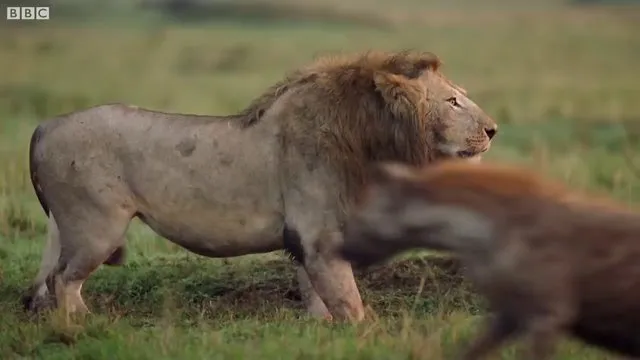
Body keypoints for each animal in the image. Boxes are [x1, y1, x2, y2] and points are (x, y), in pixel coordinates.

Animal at [23, 49, 496, 322]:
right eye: (453, 101)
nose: (493, 129)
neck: (368, 137)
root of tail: (44, 126)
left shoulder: (305, 241)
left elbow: (318, 294)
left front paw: (322, 331)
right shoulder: (319, 236)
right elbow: (349, 300)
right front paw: (365, 334)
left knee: (53, 280)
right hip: (95, 227)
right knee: (64, 280)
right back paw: (81, 326)